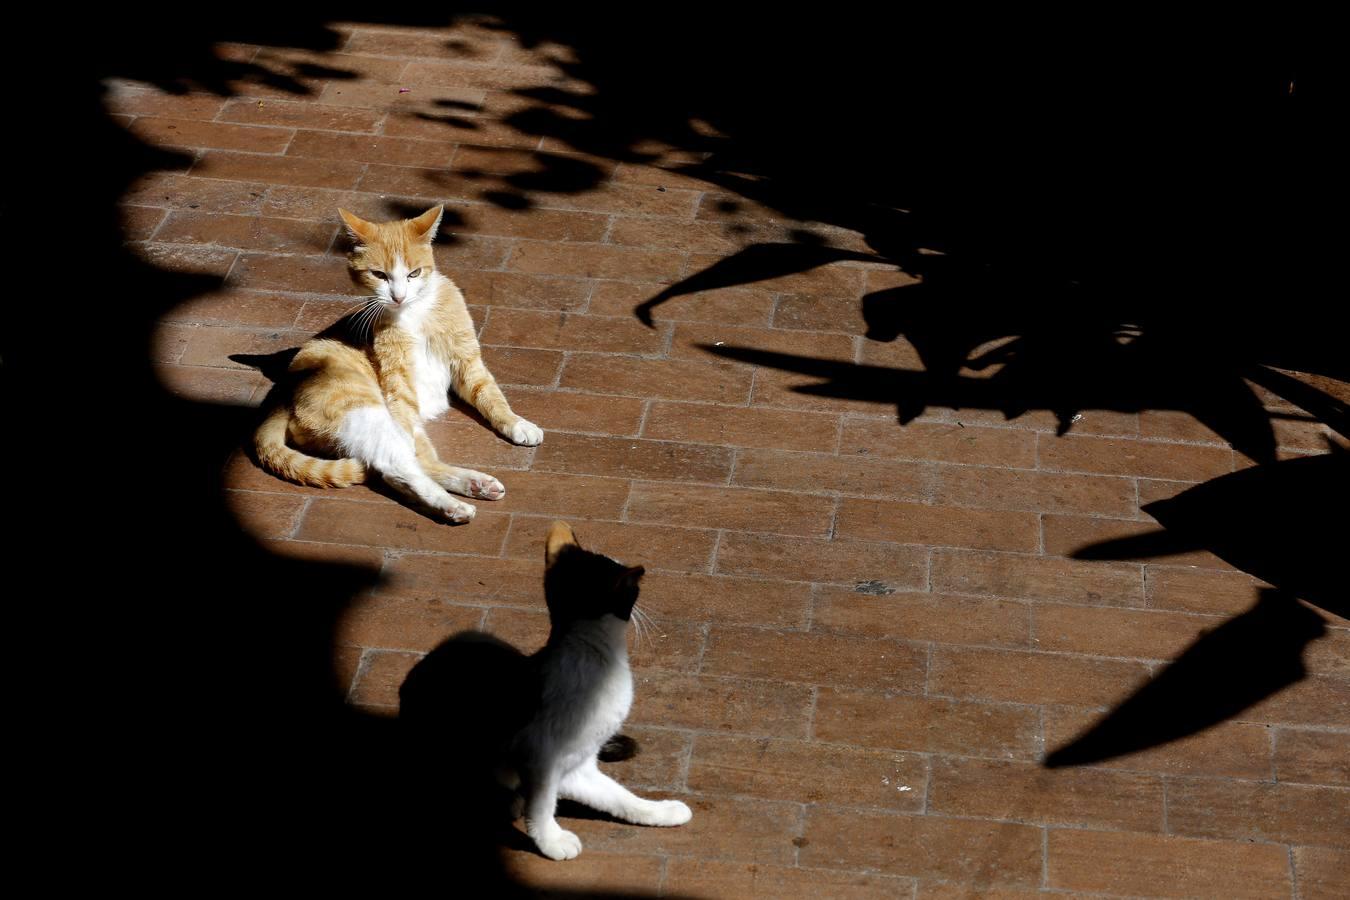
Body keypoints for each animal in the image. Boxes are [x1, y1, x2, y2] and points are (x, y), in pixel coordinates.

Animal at [255, 205, 540, 523]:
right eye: (379, 275)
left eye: (414, 273)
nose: (398, 296)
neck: (415, 310)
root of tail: (279, 399)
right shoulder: (399, 386)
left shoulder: (466, 361)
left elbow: (492, 397)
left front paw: (517, 423)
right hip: (367, 410)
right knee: (395, 467)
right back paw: (452, 504)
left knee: (413, 462)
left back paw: (474, 484)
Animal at [394, 523, 691, 863]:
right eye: (633, 591)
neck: (588, 653)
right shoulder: (538, 754)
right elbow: (543, 803)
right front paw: (550, 839)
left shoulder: (577, 763)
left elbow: (618, 797)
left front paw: (659, 811)